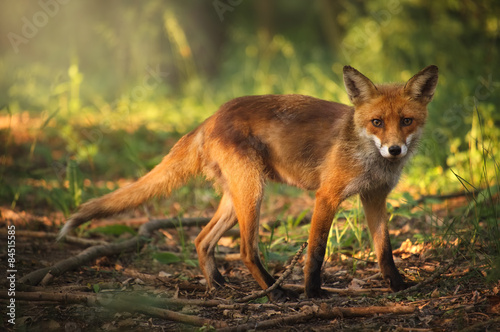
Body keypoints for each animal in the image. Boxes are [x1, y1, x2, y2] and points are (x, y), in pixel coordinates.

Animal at [59, 66, 438, 300]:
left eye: (406, 121)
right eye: (377, 122)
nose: (395, 149)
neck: (369, 157)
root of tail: (211, 117)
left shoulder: (375, 197)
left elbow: (385, 250)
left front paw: (399, 286)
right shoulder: (326, 196)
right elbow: (316, 252)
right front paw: (313, 293)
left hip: (235, 199)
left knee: (201, 239)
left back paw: (217, 286)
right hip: (253, 193)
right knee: (244, 250)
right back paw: (276, 292)